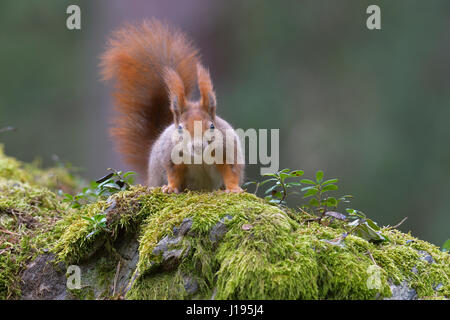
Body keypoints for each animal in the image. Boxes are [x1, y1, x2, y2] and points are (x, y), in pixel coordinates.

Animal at [100, 19, 244, 192]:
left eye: (212, 126)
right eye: (180, 128)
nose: (197, 146)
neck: (199, 157)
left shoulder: (228, 151)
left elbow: (231, 172)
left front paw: (233, 188)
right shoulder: (171, 157)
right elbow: (173, 174)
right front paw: (170, 188)